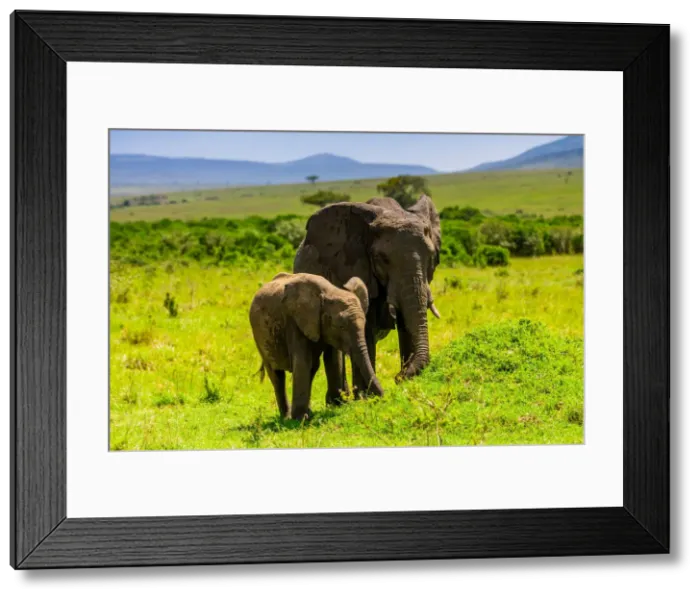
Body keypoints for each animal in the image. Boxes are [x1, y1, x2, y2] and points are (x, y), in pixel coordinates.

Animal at [249, 272, 384, 421]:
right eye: (341, 326)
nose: (376, 399)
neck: (330, 292)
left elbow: (334, 360)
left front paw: (337, 406)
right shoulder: (295, 321)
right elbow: (303, 361)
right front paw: (300, 419)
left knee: (312, 368)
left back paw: (307, 412)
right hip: (259, 338)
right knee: (277, 375)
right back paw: (287, 417)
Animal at [293, 194, 442, 398]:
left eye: (432, 256)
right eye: (382, 259)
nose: (399, 377)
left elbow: (406, 323)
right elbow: (366, 329)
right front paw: (366, 398)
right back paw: (340, 399)